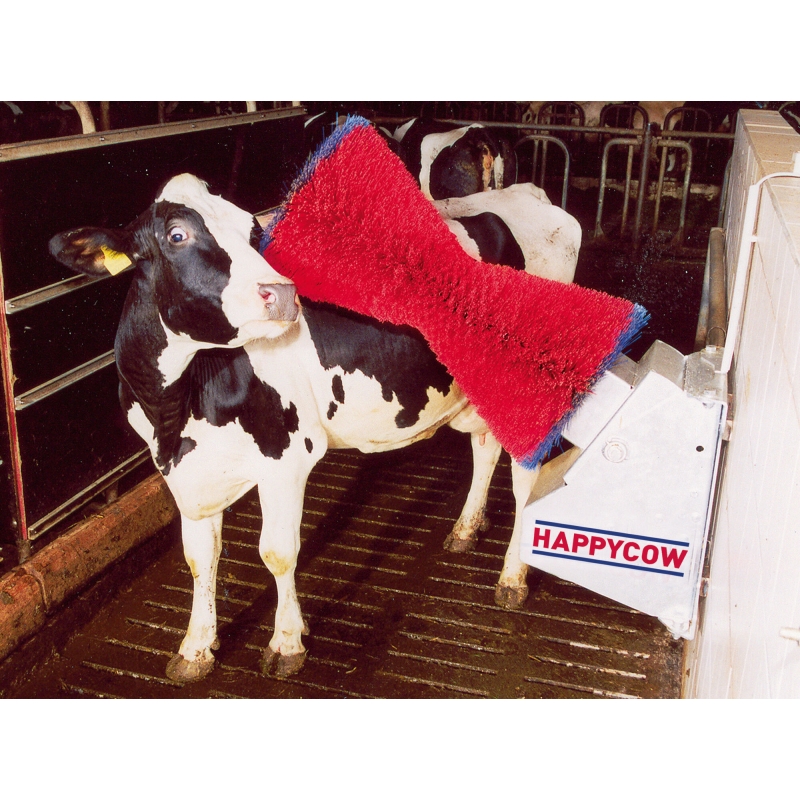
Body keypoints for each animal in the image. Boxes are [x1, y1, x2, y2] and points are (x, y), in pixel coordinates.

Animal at [49, 174, 556, 684]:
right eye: (176, 235)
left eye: (252, 228)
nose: (282, 293)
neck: (177, 410)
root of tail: (513, 198)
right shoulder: (186, 473)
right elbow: (199, 558)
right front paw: (195, 648)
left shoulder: (286, 457)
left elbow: (277, 552)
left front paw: (287, 642)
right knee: (485, 447)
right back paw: (467, 529)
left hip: (533, 391)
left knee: (526, 480)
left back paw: (512, 577)